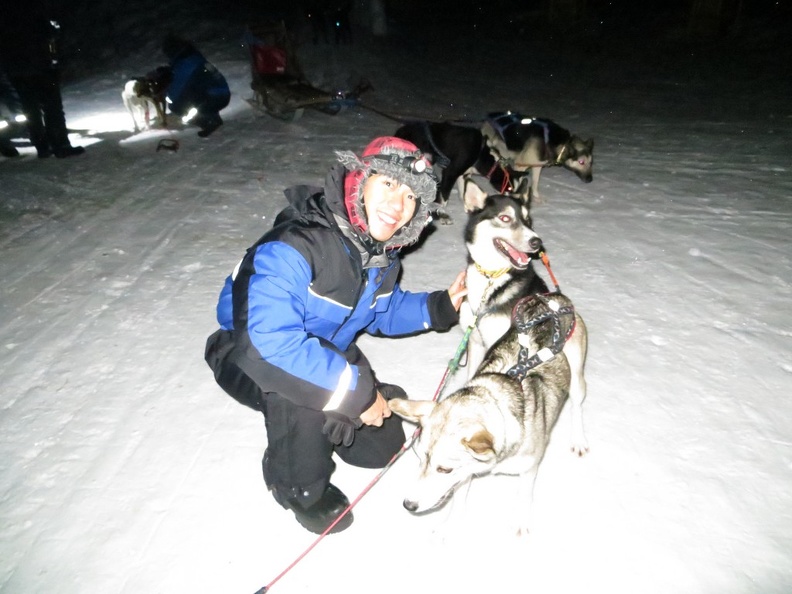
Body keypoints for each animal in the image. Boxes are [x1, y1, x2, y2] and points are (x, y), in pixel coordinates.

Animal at [390, 292, 588, 532]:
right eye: (419, 458)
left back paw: (578, 439)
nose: (408, 505)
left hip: (576, 381)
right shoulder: (466, 473)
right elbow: (458, 500)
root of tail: (554, 297)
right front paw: (449, 528)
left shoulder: (529, 468)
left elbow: (525, 495)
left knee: (577, 406)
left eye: (445, 469)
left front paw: (521, 522)